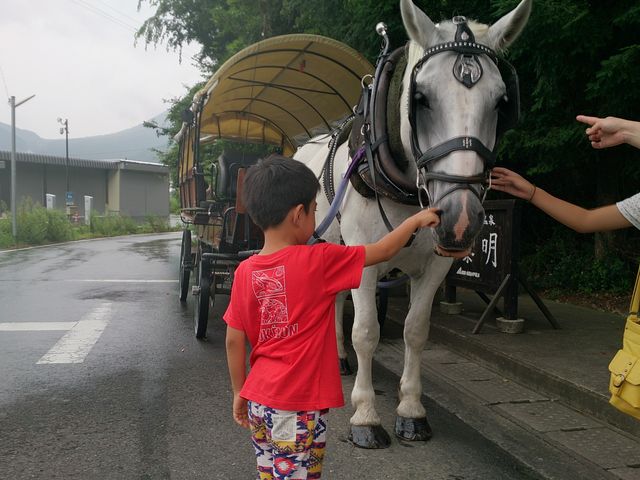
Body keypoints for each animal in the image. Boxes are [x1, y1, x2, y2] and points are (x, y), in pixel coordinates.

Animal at [294, 0, 532, 448]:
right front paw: (365, 416)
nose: (460, 217)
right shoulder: (365, 260)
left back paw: (338, 358)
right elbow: (367, 331)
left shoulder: (437, 263)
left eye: (501, 102)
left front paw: (411, 410)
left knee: (336, 300)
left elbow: (415, 330)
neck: (406, 187)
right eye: (420, 98)